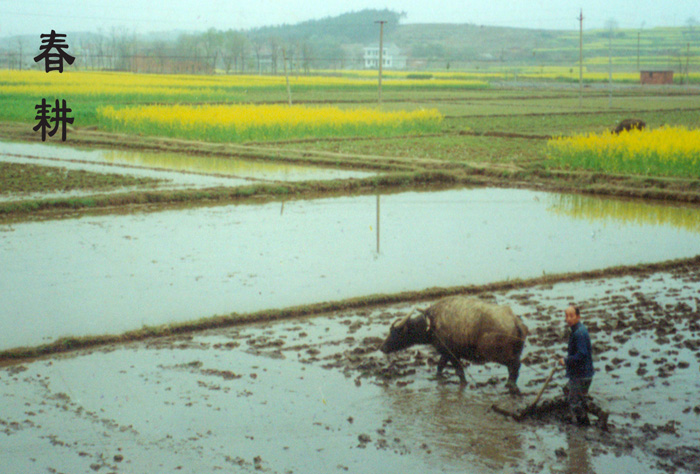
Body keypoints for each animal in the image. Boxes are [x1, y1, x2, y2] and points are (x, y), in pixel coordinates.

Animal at [380, 296, 528, 392]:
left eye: (395, 332)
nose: (382, 348)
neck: (432, 324)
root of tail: (515, 321)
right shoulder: (445, 353)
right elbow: (440, 367)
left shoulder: (452, 354)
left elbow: (459, 371)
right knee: (513, 367)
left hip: (496, 353)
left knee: (515, 365)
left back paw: (510, 385)